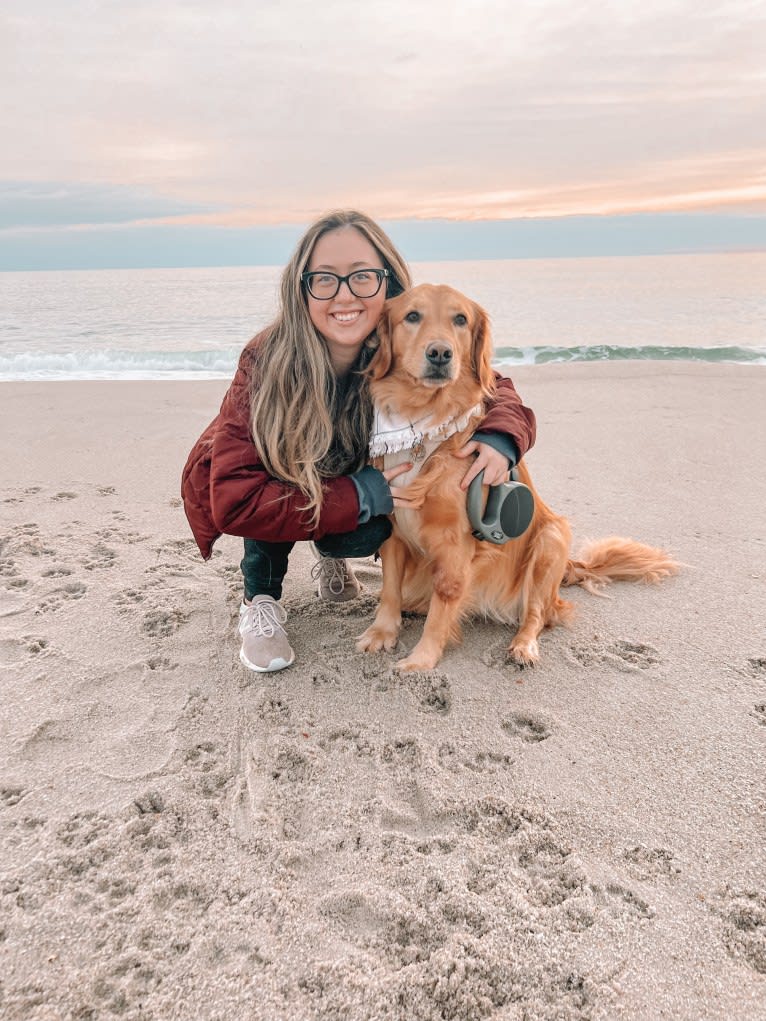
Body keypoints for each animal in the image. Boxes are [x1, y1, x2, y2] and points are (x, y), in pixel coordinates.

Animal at [355, 283, 678, 673]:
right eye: (412, 316)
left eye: (460, 319)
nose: (441, 353)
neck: (423, 417)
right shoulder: (392, 524)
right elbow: (389, 587)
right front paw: (382, 632)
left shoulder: (455, 541)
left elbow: (445, 596)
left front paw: (422, 658)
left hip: (550, 542)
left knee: (538, 614)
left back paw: (523, 646)